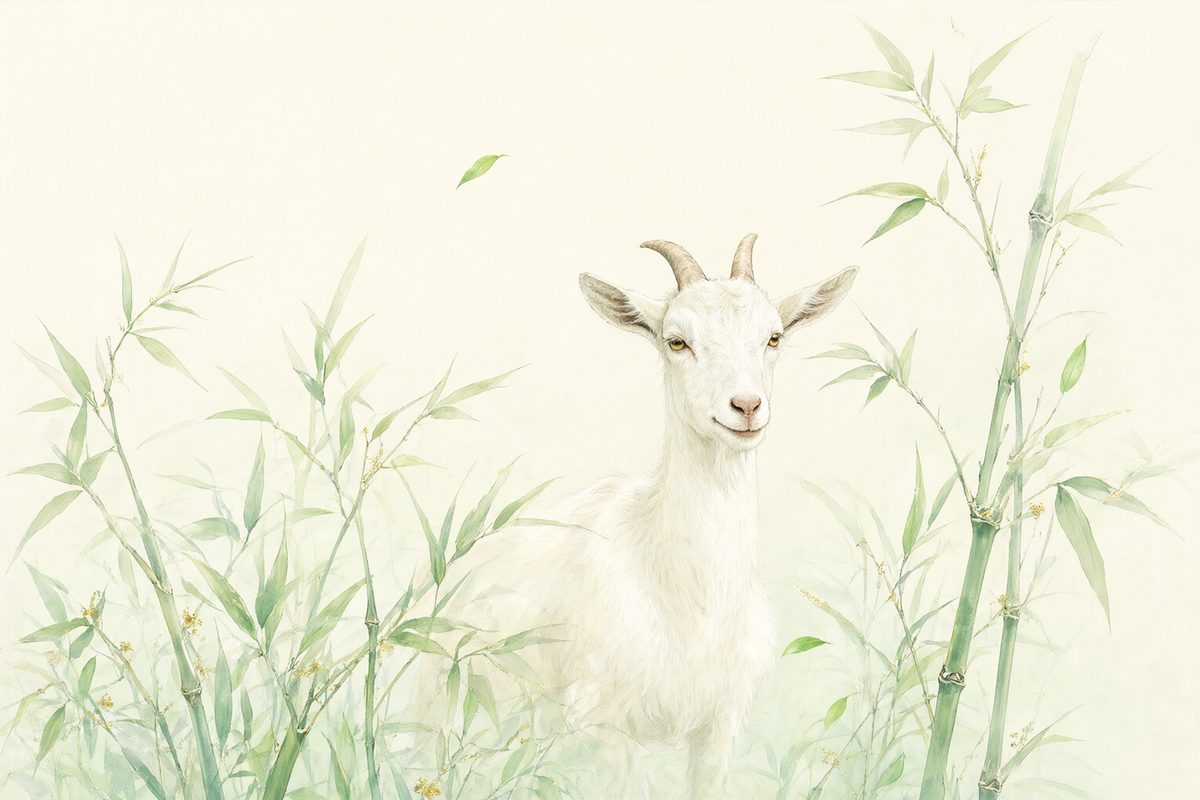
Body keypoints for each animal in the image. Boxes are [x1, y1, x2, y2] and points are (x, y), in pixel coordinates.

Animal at [455, 235, 856, 798]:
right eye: (676, 341)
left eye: (774, 336)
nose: (746, 406)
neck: (691, 599)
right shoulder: (604, 724)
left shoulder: (719, 727)